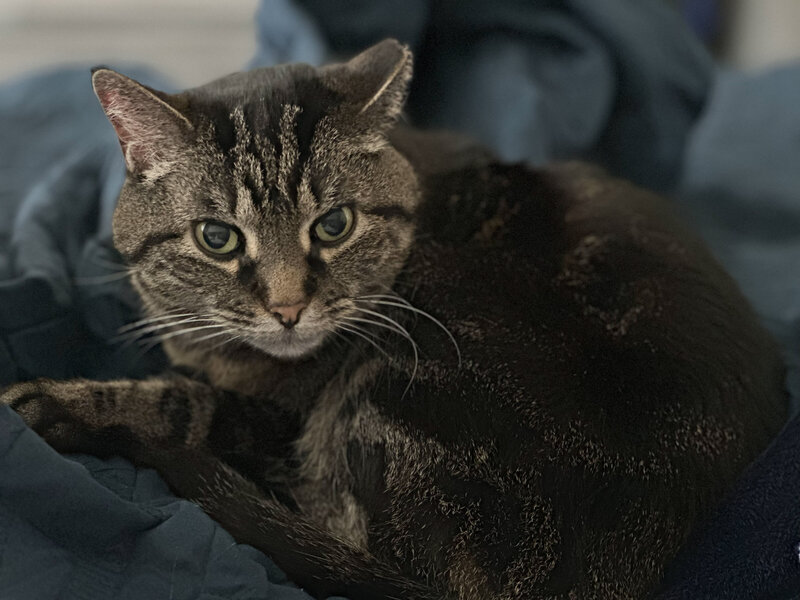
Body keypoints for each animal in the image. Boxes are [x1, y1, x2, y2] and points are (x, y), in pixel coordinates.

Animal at [1, 39, 788, 596]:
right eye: (217, 238)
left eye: (335, 225)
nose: (288, 309)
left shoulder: (276, 421)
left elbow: (176, 406)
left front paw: (49, 404)